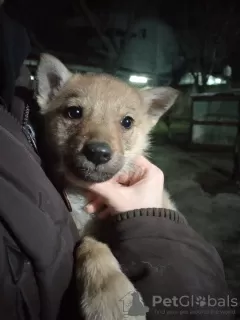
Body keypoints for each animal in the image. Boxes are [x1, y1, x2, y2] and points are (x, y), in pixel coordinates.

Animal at [36, 53, 180, 318]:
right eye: (74, 112)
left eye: (127, 122)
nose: (98, 153)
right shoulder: (82, 230)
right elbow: (90, 246)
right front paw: (110, 295)